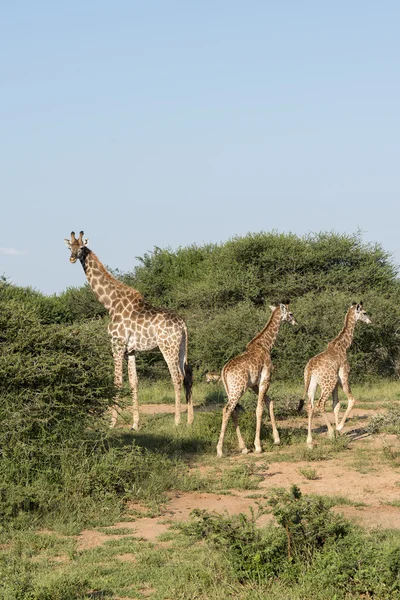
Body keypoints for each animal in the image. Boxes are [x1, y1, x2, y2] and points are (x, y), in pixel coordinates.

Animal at [64, 231, 194, 432]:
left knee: (177, 377)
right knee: (187, 376)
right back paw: (189, 421)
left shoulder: (116, 344)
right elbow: (134, 383)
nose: (71, 258)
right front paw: (135, 424)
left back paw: (177, 421)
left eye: (82, 247)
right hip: (181, 349)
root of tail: (183, 325)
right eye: (70, 247)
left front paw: (111, 423)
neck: (110, 303)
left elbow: (117, 382)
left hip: (167, 347)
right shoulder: (131, 350)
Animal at [216, 302, 296, 458]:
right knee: (226, 410)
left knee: (233, 411)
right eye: (290, 314)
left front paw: (276, 439)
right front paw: (258, 446)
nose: (296, 322)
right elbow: (259, 409)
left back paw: (244, 448)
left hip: (231, 390)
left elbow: (269, 402)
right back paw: (220, 450)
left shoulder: (254, 385)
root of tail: (223, 371)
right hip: (238, 389)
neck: (266, 345)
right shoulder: (266, 378)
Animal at [302, 302, 374, 448]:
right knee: (320, 403)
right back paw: (329, 432)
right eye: (364, 312)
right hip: (328, 383)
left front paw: (338, 434)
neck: (343, 346)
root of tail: (310, 368)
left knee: (310, 405)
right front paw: (339, 428)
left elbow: (336, 405)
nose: (370, 320)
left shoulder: (335, 384)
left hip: (312, 383)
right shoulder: (343, 377)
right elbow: (351, 400)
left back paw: (309, 442)